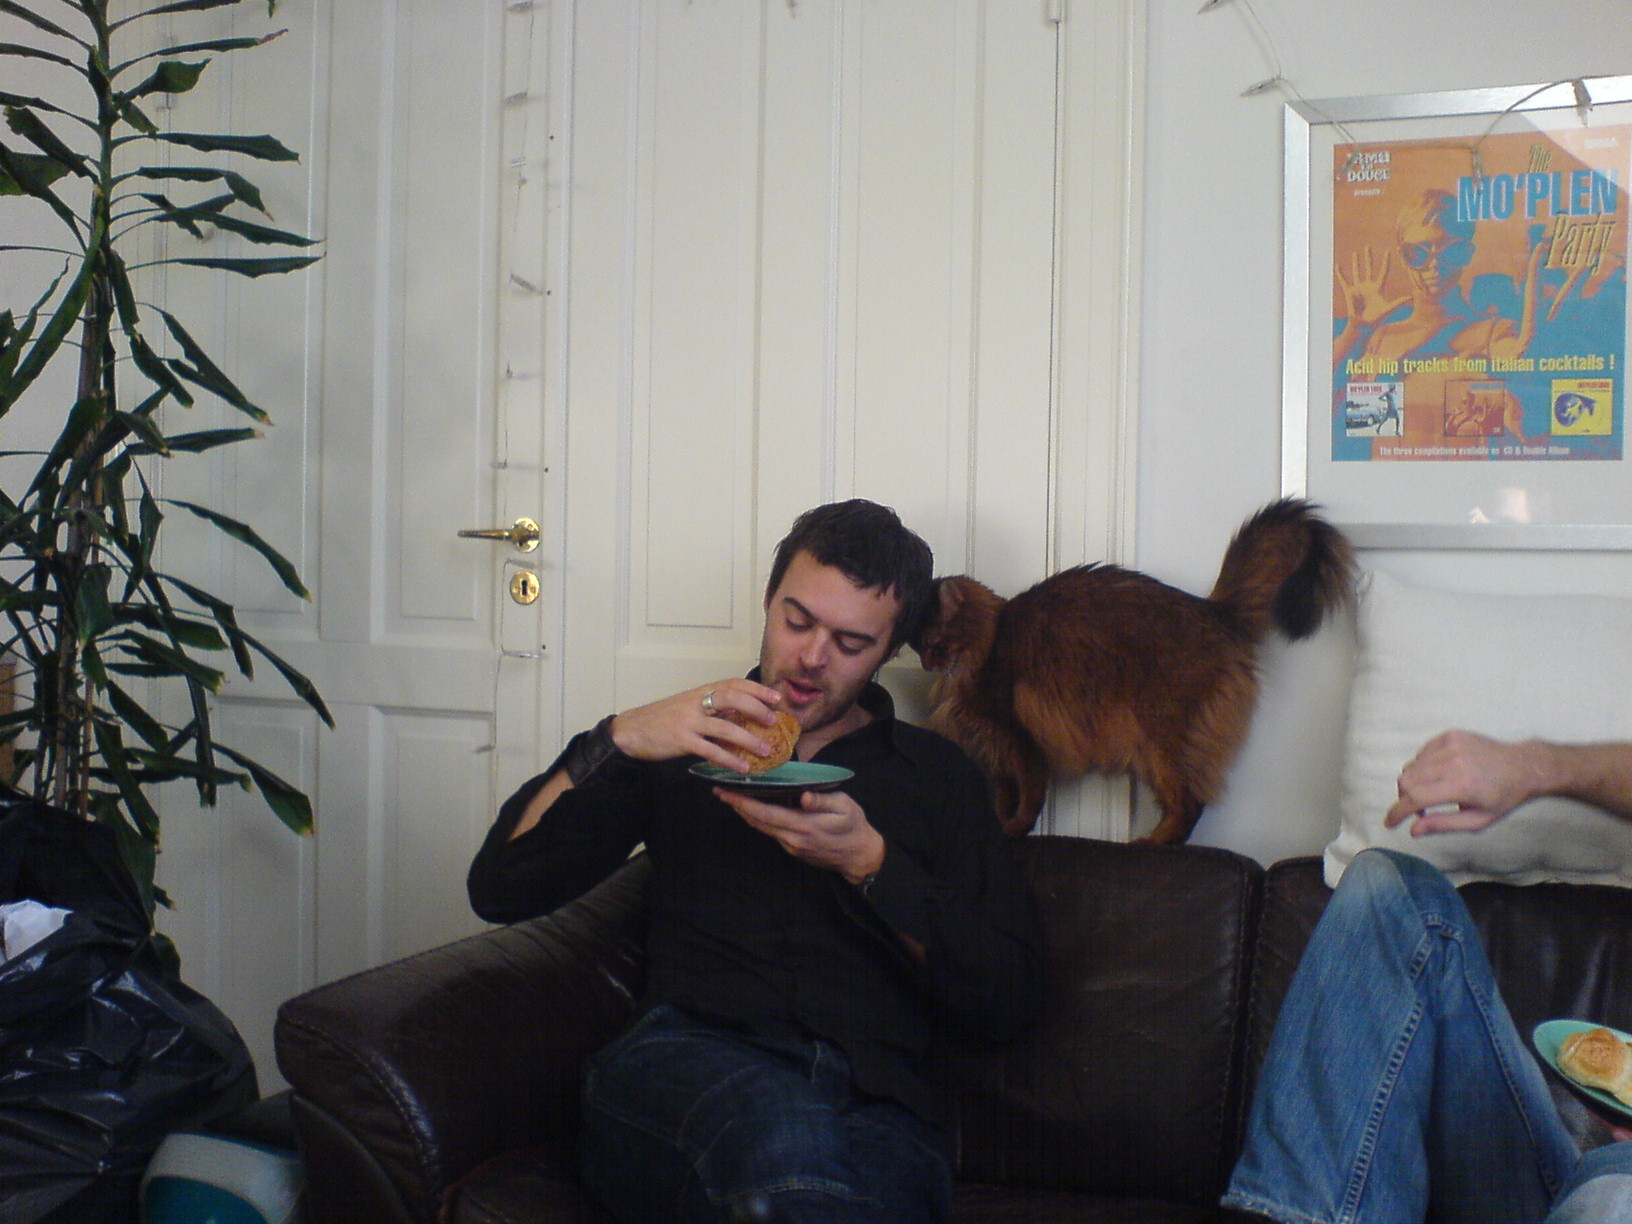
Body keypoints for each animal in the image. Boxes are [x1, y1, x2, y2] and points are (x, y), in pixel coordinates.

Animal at [913, 499, 1357, 842]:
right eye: (916, 646)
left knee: (1190, 803)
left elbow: (1030, 796)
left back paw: (1151, 843)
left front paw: (1014, 830)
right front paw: (1001, 824)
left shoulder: (1021, 739)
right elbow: (1005, 798)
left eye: (933, 642)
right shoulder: (996, 752)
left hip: (1161, 737)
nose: (925, 664)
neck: (989, 641)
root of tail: (1213, 609)